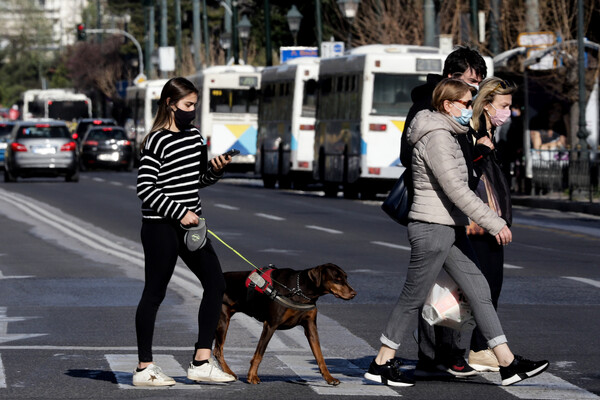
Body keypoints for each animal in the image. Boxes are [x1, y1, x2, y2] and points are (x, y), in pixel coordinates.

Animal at [213, 262, 356, 384]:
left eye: (346, 277)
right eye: (337, 279)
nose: (354, 293)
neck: (300, 290)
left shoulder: (311, 327)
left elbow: (319, 355)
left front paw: (329, 378)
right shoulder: (270, 325)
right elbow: (259, 353)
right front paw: (252, 376)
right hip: (223, 320)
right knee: (218, 351)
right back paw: (229, 373)